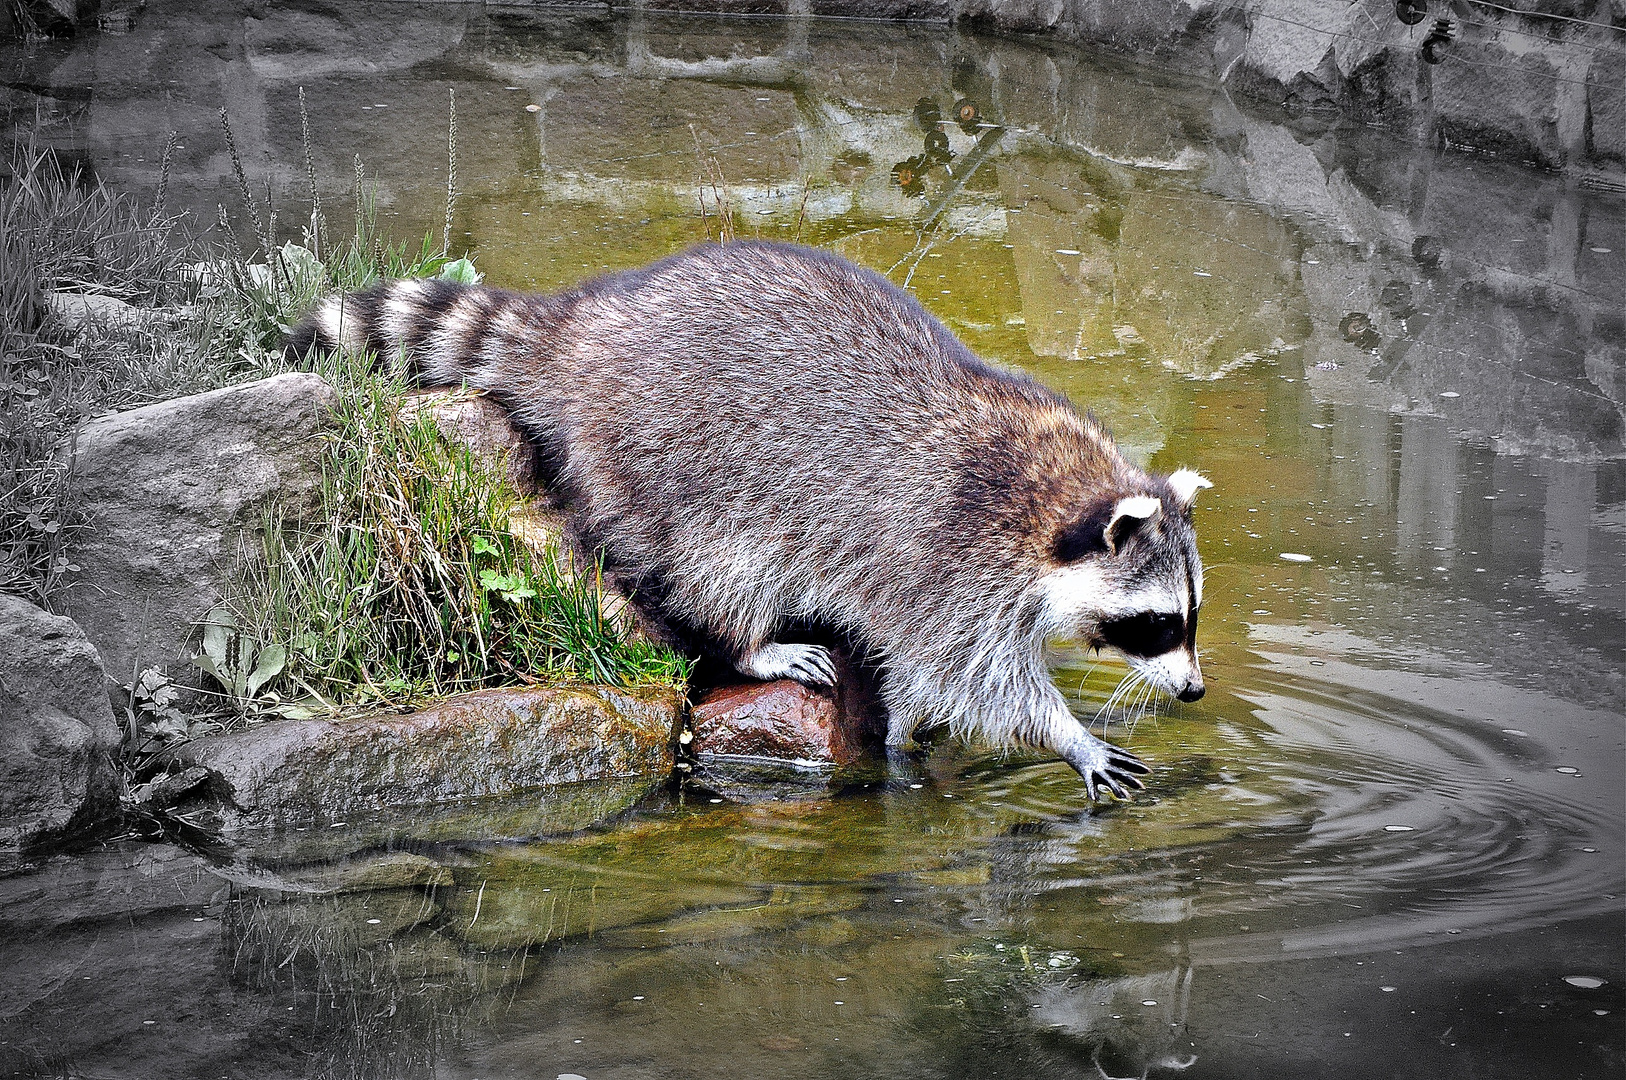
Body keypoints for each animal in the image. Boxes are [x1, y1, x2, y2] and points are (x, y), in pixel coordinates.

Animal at [289, 243, 1209, 800]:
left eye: (1190, 617)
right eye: (1158, 624)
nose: (1197, 689)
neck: (1053, 493)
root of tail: (590, 331)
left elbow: (923, 675)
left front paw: (906, 729)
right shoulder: (951, 557)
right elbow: (974, 675)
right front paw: (1068, 735)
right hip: (672, 463)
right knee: (714, 569)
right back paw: (749, 641)